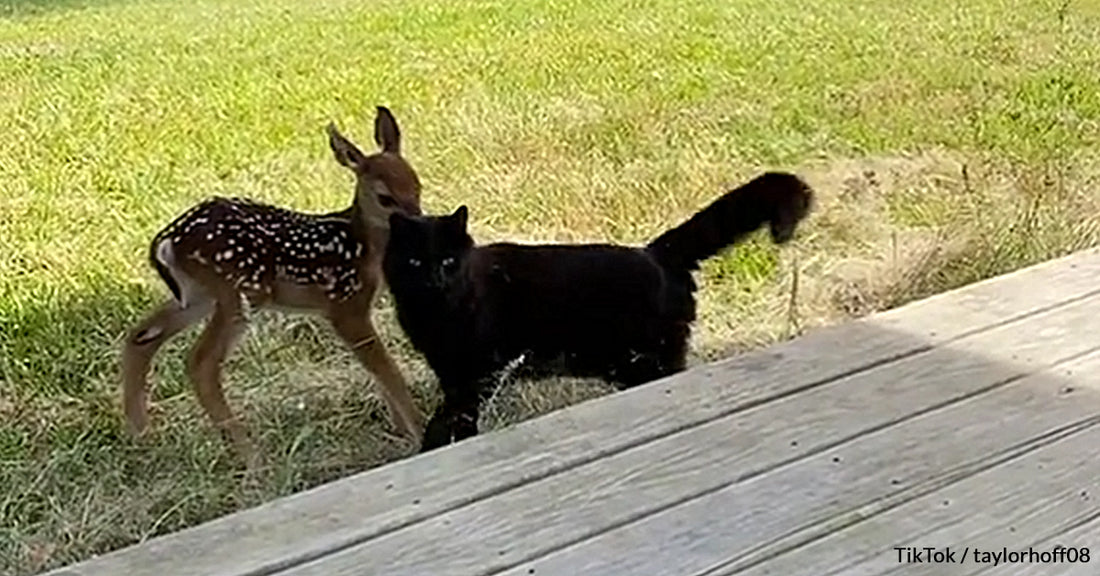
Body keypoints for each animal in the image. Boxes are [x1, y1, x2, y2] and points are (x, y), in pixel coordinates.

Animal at [122, 105, 424, 461]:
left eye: (417, 185)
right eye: (385, 198)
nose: (421, 223)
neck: (361, 248)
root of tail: (166, 241)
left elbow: (377, 369)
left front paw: (402, 431)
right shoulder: (344, 304)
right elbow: (386, 368)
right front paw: (419, 431)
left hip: (198, 295)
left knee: (142, 335)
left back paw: (140, 432)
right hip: (239, 289)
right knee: (200, 362)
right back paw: (250, 456)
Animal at [382, 170, 814, 450]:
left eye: (449, 261)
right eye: (414, 263)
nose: (435, 280)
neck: (437, 314)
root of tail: (656, 253)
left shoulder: (476, 372)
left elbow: (456, 417)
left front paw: (442, 442)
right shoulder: (451, 373)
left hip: (648, 359)